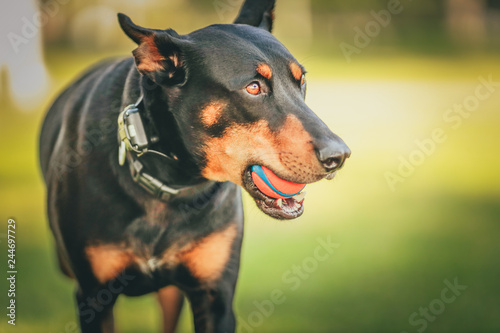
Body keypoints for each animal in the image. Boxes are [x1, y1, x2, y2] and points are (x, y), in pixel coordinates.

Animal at [39, 1, 350, 330]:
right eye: (253, 88)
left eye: (301, 81)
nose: (339, 156)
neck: (175, 181)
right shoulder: (93, 298)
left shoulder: (215, 298)